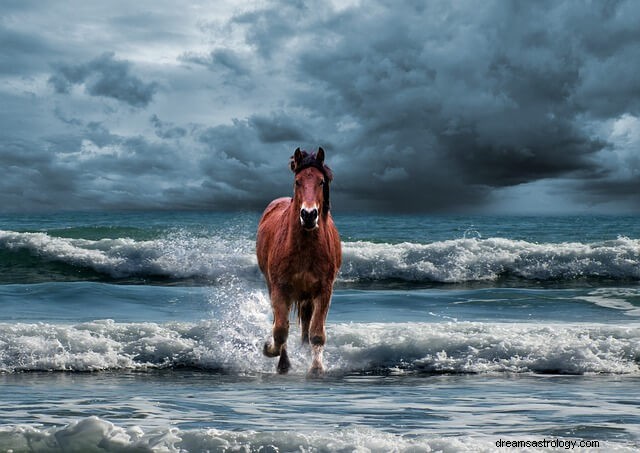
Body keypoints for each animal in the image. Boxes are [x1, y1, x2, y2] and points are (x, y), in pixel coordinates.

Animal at [258, 148, 342, 374]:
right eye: (298, 181)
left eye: (321, 182)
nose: (309, 215)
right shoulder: (280, 289)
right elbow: (280, 329)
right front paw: (270, 351)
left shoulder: (324, 290)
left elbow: (317, 333)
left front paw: (316, 368)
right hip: (273, 286)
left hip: (307, 295)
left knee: (306, 323)